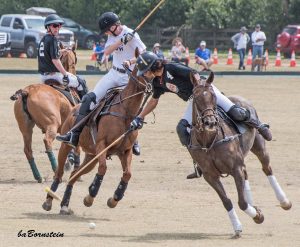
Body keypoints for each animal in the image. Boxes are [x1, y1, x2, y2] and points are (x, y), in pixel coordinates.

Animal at [10, 47, 81, 183]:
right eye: (74, 62)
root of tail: (27, 91)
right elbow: (76, 148)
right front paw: (75, 171)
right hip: (52, 124)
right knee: (47, 141)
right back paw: (56, 171)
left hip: (26, 128)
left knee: (28, 149)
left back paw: (38, 176)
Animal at [41, 63, 149, 214]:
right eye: (144, 70)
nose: (151, 88)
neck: (125, 112)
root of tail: (74, 107)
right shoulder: (101, 145)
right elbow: (103, 168)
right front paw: (91, 195)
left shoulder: (125, 151)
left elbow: (127, 174)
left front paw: (114, 199)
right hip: (67, 146)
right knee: (59, 173)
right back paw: (49, 200)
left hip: (91, 157)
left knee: (74, 174)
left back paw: (64, 204)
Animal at [189, 72, 292, 237]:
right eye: (196, 96)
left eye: (213, 96)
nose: (210, 122)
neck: (210, 140)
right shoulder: (210, 176)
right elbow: (227, 201)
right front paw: (238, 226)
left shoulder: (235, 168)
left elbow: (242, 202)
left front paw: (258, 216)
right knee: (247, 174)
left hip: (259, 146)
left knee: (267, 169)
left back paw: (284, 201)